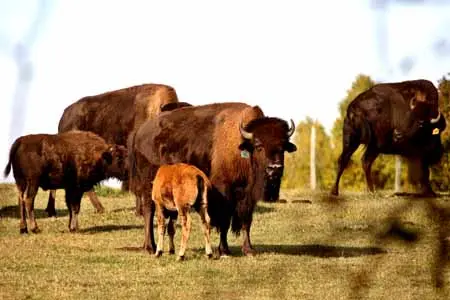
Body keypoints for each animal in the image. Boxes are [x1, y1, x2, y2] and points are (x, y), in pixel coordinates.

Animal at [127, 101, 296, 255]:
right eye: (259, 146)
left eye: (282, 147)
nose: (274, 168)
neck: (241, 147)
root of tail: (139, 133)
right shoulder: (224, 192)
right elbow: (224, 221)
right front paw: (224, 250)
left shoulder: (247, 196)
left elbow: (246, 221)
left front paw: (249, 249)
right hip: (149, 186)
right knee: (149, 211)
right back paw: (151, 247)